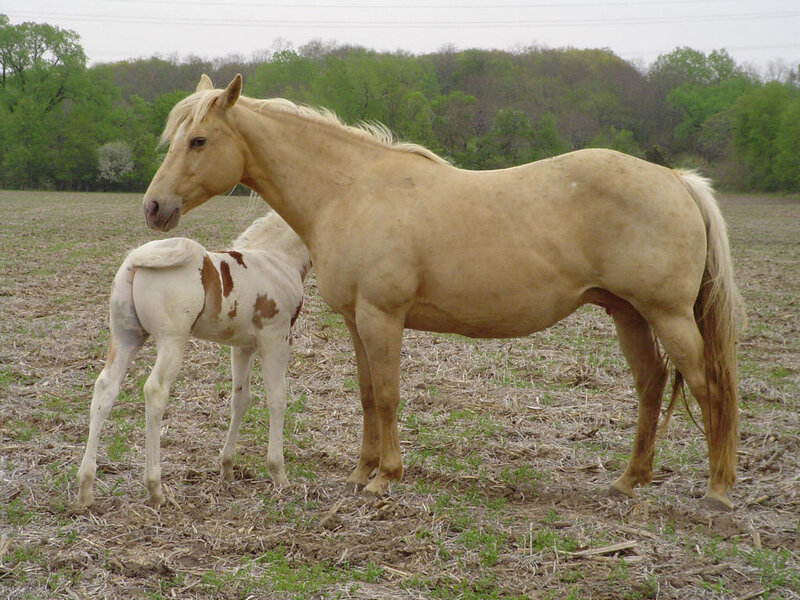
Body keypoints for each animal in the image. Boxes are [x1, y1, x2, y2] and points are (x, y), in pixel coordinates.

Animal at [77, 210, 311, 507]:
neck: (276, 256)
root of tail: (135, 261)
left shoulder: (242, 347)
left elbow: (240, 400)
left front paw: (227, 467)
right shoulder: (276, 339)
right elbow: (277, 399)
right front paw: (278, 473)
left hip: (125, 337)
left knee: (105, 389)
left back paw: (86, 488)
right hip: (172, 341)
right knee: (155, 391)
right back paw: (155, 488)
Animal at [141, 74, 745, 510]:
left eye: (199, 140)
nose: (154, 207)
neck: (351, 190)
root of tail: (675, 180)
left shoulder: (383, 317)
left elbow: (388, 395)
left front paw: (386, 478)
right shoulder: (357, 321)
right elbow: (367, 395)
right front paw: (360, 473)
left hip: (668, 315)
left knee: (709, 387)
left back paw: (716, 493)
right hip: (628, 313)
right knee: (651, 385)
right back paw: (628, 481)